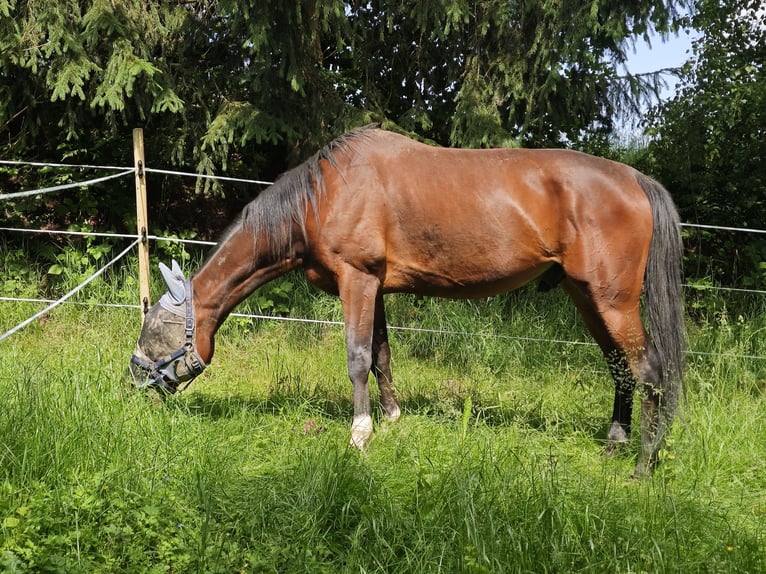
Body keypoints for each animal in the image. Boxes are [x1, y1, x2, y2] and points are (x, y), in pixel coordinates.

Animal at [129, 125, 688, 476]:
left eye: (155, 327)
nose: (134, 379)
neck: (322, 195)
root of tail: (636, 179)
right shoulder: (375, 288)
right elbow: (381, 356)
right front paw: (393, 419)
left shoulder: (357, 281)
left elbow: (357, 358)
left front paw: (359, 435)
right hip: (586, 297)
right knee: (619, 368)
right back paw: (615, 446)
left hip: (613, 301)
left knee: (649, 372)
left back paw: (643, 464)